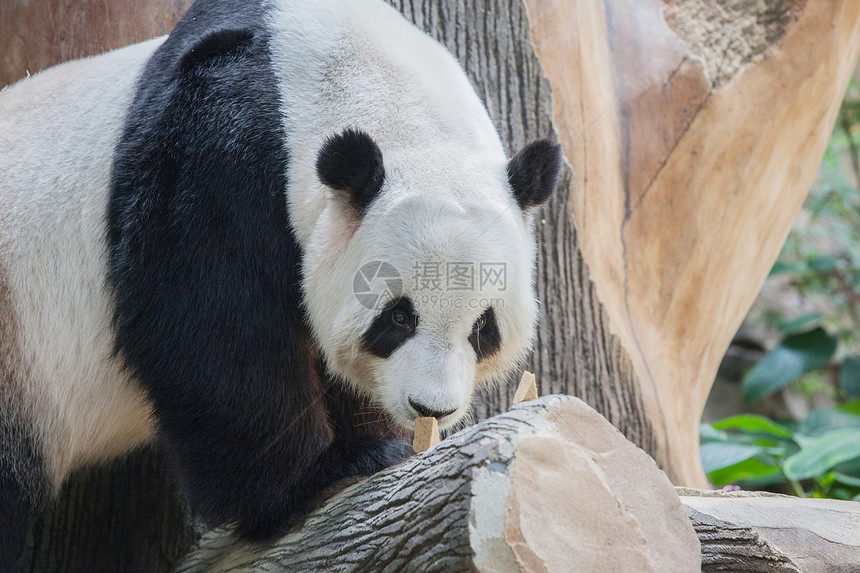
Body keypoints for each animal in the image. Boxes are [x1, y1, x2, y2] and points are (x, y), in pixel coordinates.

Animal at [0, 0, 564, 564]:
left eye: (483, 328)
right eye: (398, 316)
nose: (432, 407)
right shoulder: (213, 156)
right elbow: (210, 334)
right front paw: (323, 474)